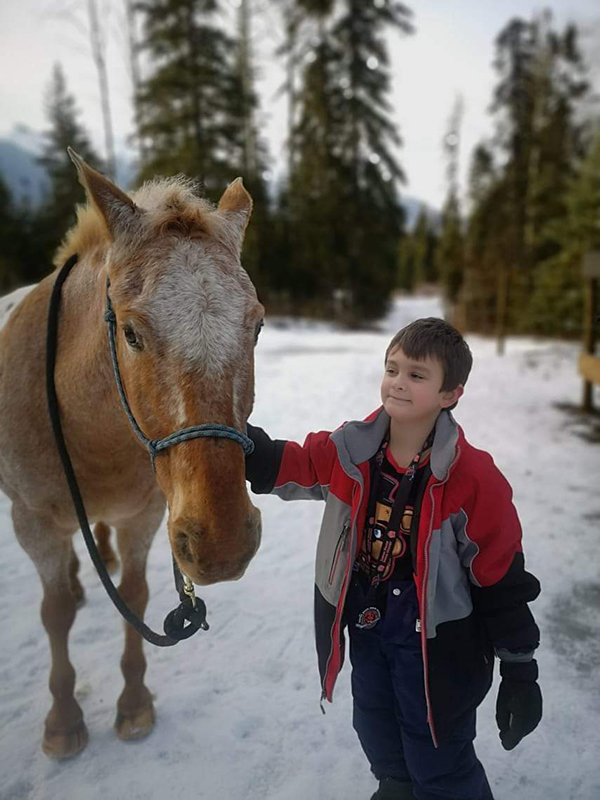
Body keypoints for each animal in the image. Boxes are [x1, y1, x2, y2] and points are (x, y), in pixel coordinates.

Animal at [0, 153, 264, 760]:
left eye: (258, 326)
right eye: (131, 333)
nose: (222, 543)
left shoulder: (144, 516)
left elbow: (136, 596)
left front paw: (135, 704)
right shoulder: (32, 522)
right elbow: (54, 614)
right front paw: (63, 720)